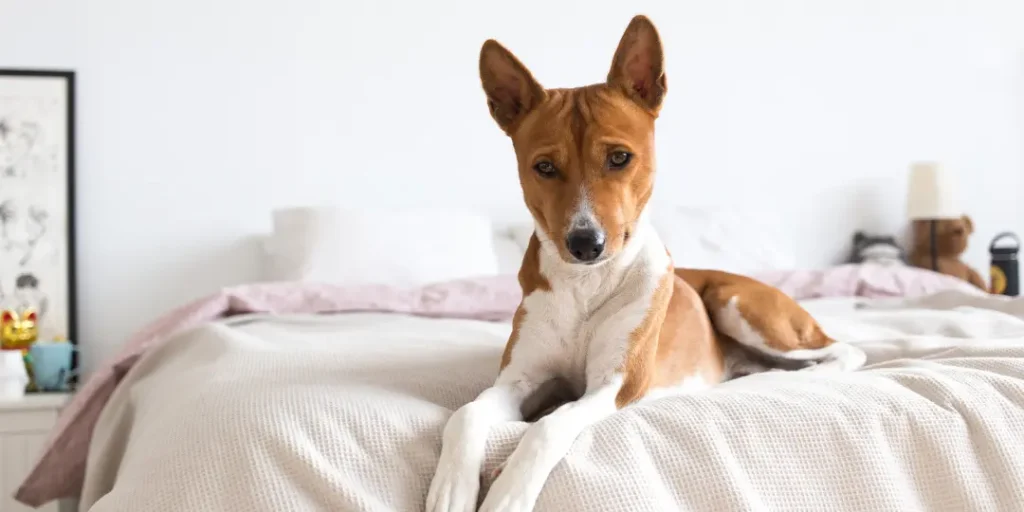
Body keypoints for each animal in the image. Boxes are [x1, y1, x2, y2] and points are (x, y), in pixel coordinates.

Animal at [423, 16, 864, 512]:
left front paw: (508, 492)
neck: (586, 285)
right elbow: (466, 413)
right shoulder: (520, 380)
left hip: (741, 305)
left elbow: (549, 425)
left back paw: (784, 378)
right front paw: (451, 487)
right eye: (544, 167)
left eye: (620, 158)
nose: (586, 243)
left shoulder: (616, 385)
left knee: (844, 351)